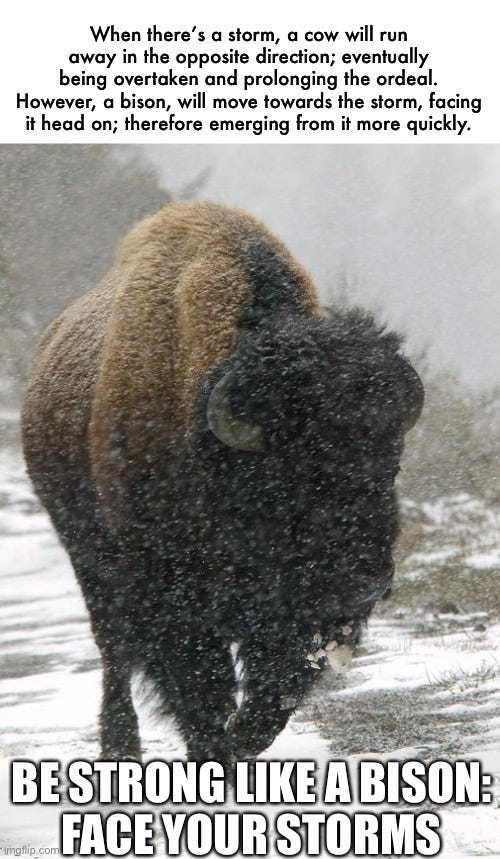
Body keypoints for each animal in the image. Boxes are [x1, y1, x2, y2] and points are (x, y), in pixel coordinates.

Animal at [22, 202, 423, 766]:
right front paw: (216, 756)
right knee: (113, 653)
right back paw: (119, 747)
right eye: (292, 476)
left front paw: (240, 744)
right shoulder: (175, 602)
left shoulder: (287, 618)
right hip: (88, 561)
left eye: (391, 465)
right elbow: (201, 691)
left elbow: (272, 694)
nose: (365, 582)